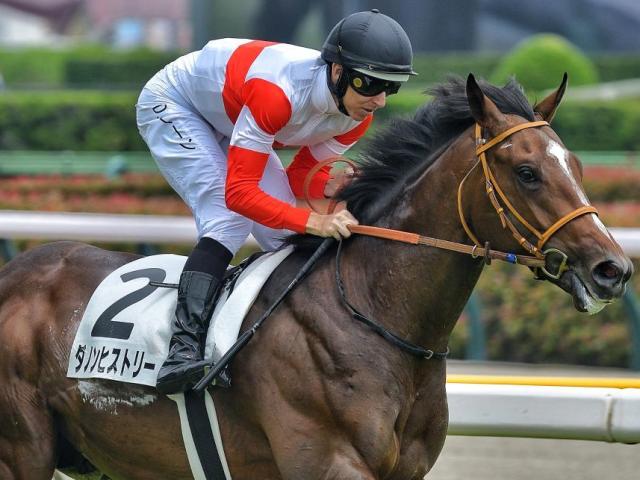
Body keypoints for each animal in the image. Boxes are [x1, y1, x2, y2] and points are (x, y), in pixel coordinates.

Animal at [0, 74, 632, 480]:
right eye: (526, 172)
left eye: (577, 165)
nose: (614, 269)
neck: (373, 314)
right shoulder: (329, 462)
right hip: (23, 452)